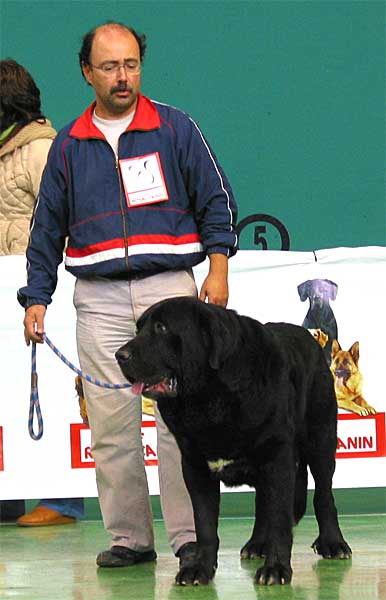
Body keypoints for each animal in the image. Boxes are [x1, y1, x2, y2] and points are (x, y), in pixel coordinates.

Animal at [114, 296, 350, 584]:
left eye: (161, 328)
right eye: (138, 329)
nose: (120, 355)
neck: (209, 398)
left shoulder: (277, 458)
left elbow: (280, 518)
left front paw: (276, 569)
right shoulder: (195, 466)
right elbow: (204, 524)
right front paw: (199, 568)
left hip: (321, 440)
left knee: (323, 494)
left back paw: (333, 543)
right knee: (264, 504)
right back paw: (257, 544)